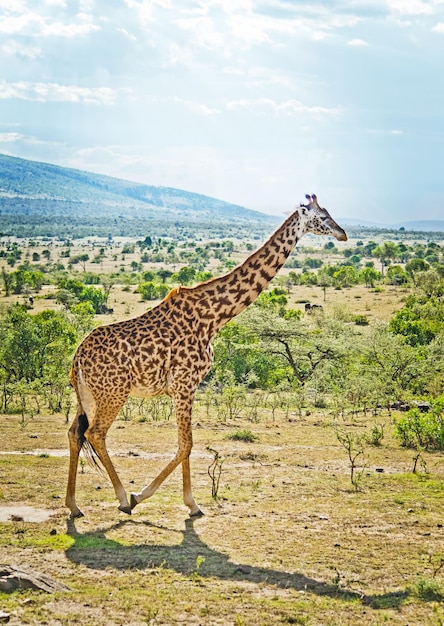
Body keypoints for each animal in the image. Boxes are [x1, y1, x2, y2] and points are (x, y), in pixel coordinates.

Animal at [65, 194, 346, 516]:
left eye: (329, 212)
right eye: (321, 217)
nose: (342, 233)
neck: (213, 317)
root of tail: (77, 358)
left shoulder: (185, 387)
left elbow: (185, 444)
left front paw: (190, 503)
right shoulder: (185, 384)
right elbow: (185, 444)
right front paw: (158, 498)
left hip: (88, 396)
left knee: (74, 433)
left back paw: (73, 505)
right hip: (113, 393)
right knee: (95, 433)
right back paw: (124, 499)